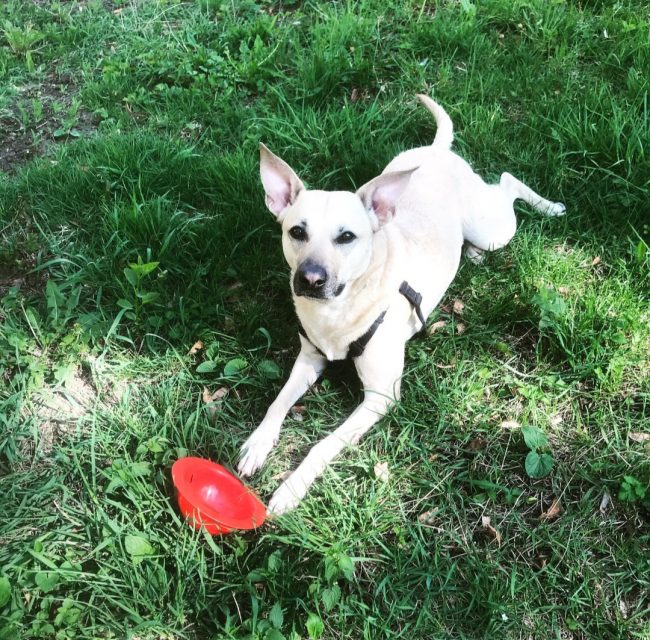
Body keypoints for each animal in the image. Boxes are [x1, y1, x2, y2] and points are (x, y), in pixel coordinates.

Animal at [238, 95, 565, 514]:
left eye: (347, 237)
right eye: (296, 231)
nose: (310, 279)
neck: (338, 311)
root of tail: (437, 151)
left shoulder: (381, 396)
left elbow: (323, 445)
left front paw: (291, 488)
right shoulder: (308, 359)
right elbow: (278, 402)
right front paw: (258, 443)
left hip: (493, 228)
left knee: (508, 182)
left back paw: (548, 207)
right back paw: (473, 253)